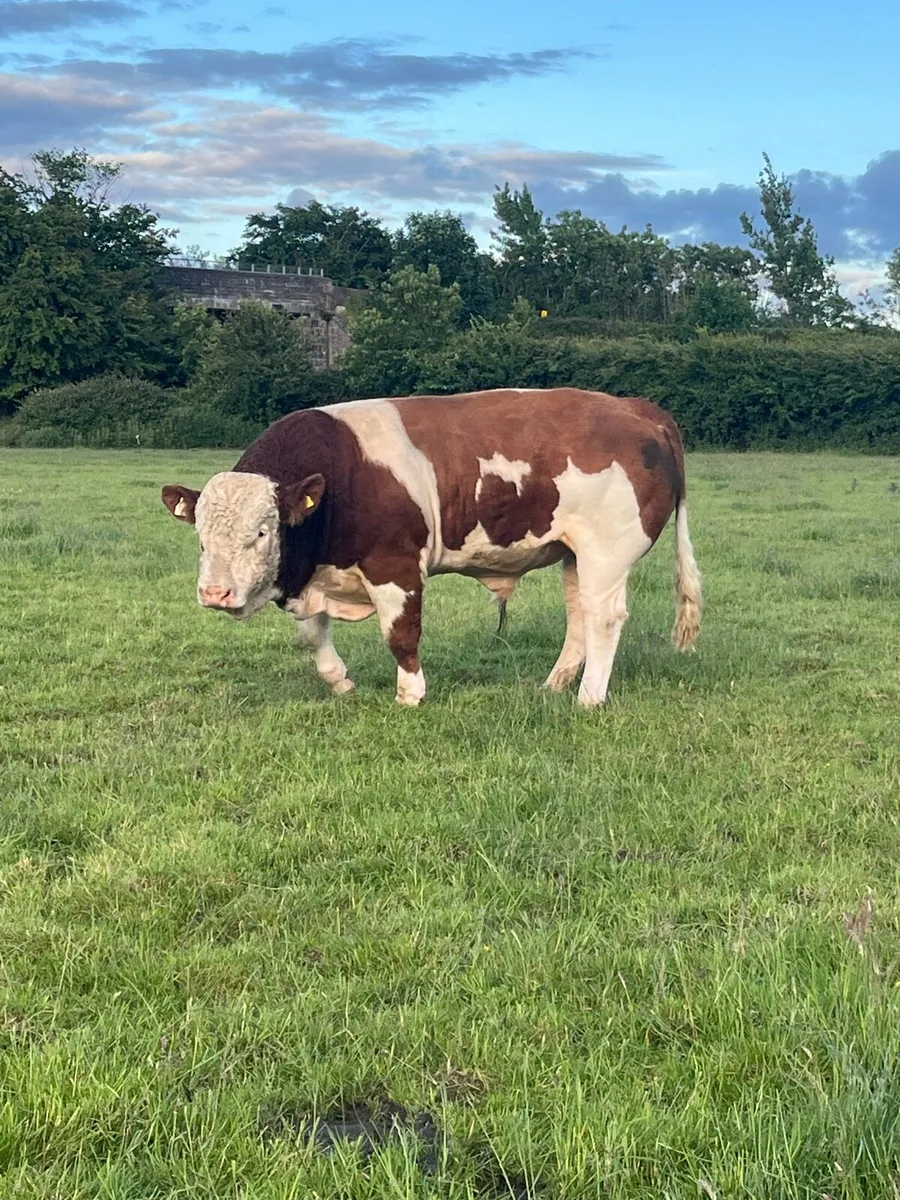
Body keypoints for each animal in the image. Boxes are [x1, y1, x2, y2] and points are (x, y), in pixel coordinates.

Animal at [161, 387, 701, 707]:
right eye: (201, 538)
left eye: (261, 532)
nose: (215, 594)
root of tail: (638, 408)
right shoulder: (312, 571)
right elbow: (313, 634)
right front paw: (340, 681)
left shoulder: (395, 565)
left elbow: (401, 635)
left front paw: (410, 694)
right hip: (574, 553)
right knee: (579, 618)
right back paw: (556, 684)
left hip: (606, 553)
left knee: (604, 618)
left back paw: (588, 697)